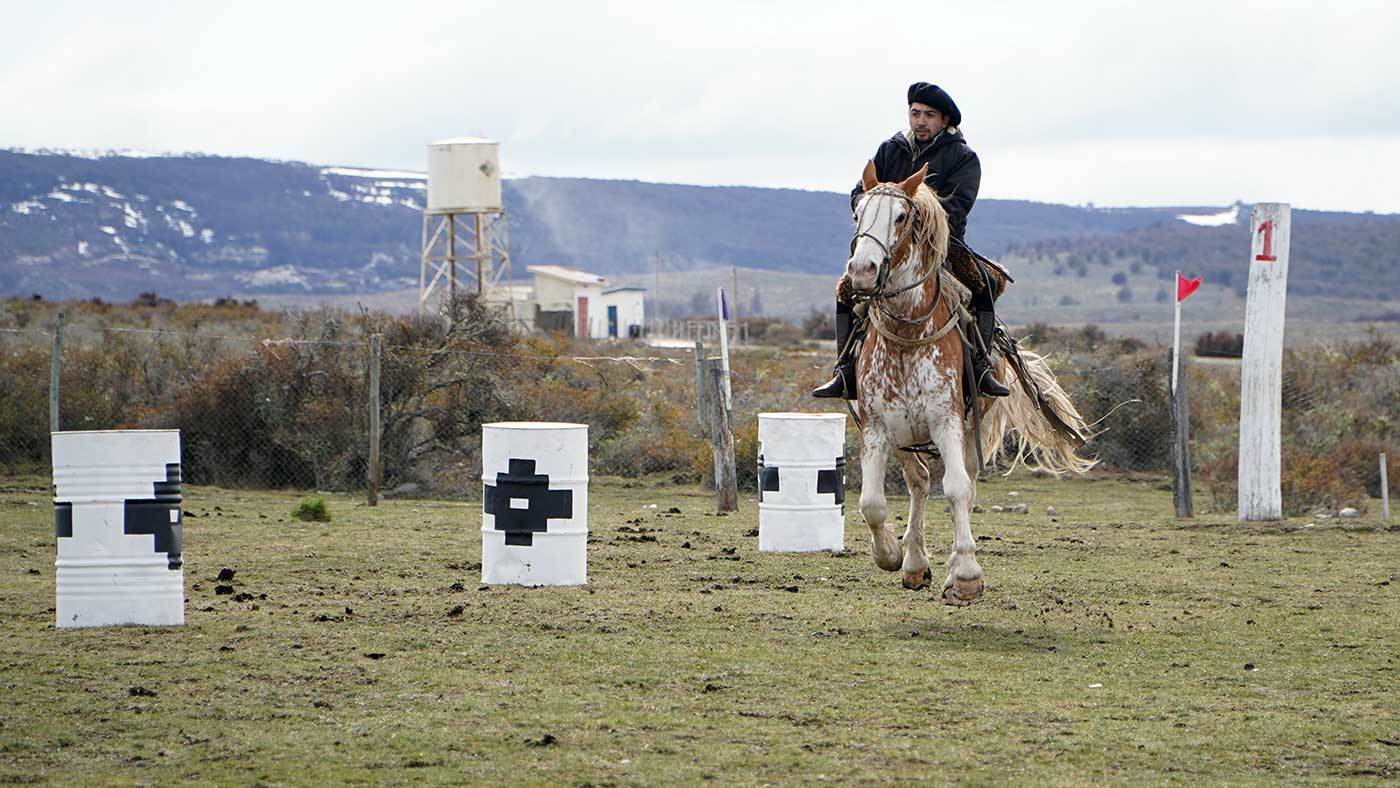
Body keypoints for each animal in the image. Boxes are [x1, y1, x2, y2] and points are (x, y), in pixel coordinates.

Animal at [840, 158, 1092, 604]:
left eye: (901, 216)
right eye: (858, 213)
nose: (862, 271)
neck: (907, 336)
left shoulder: (949, 424)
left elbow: (957, 490)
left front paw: (966, 575)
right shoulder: (877, 428)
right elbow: (872, 503)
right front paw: (891, 555)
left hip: (972, 425)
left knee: (966, 487)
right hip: (905, 438)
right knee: (919, 483)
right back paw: (915, 564)